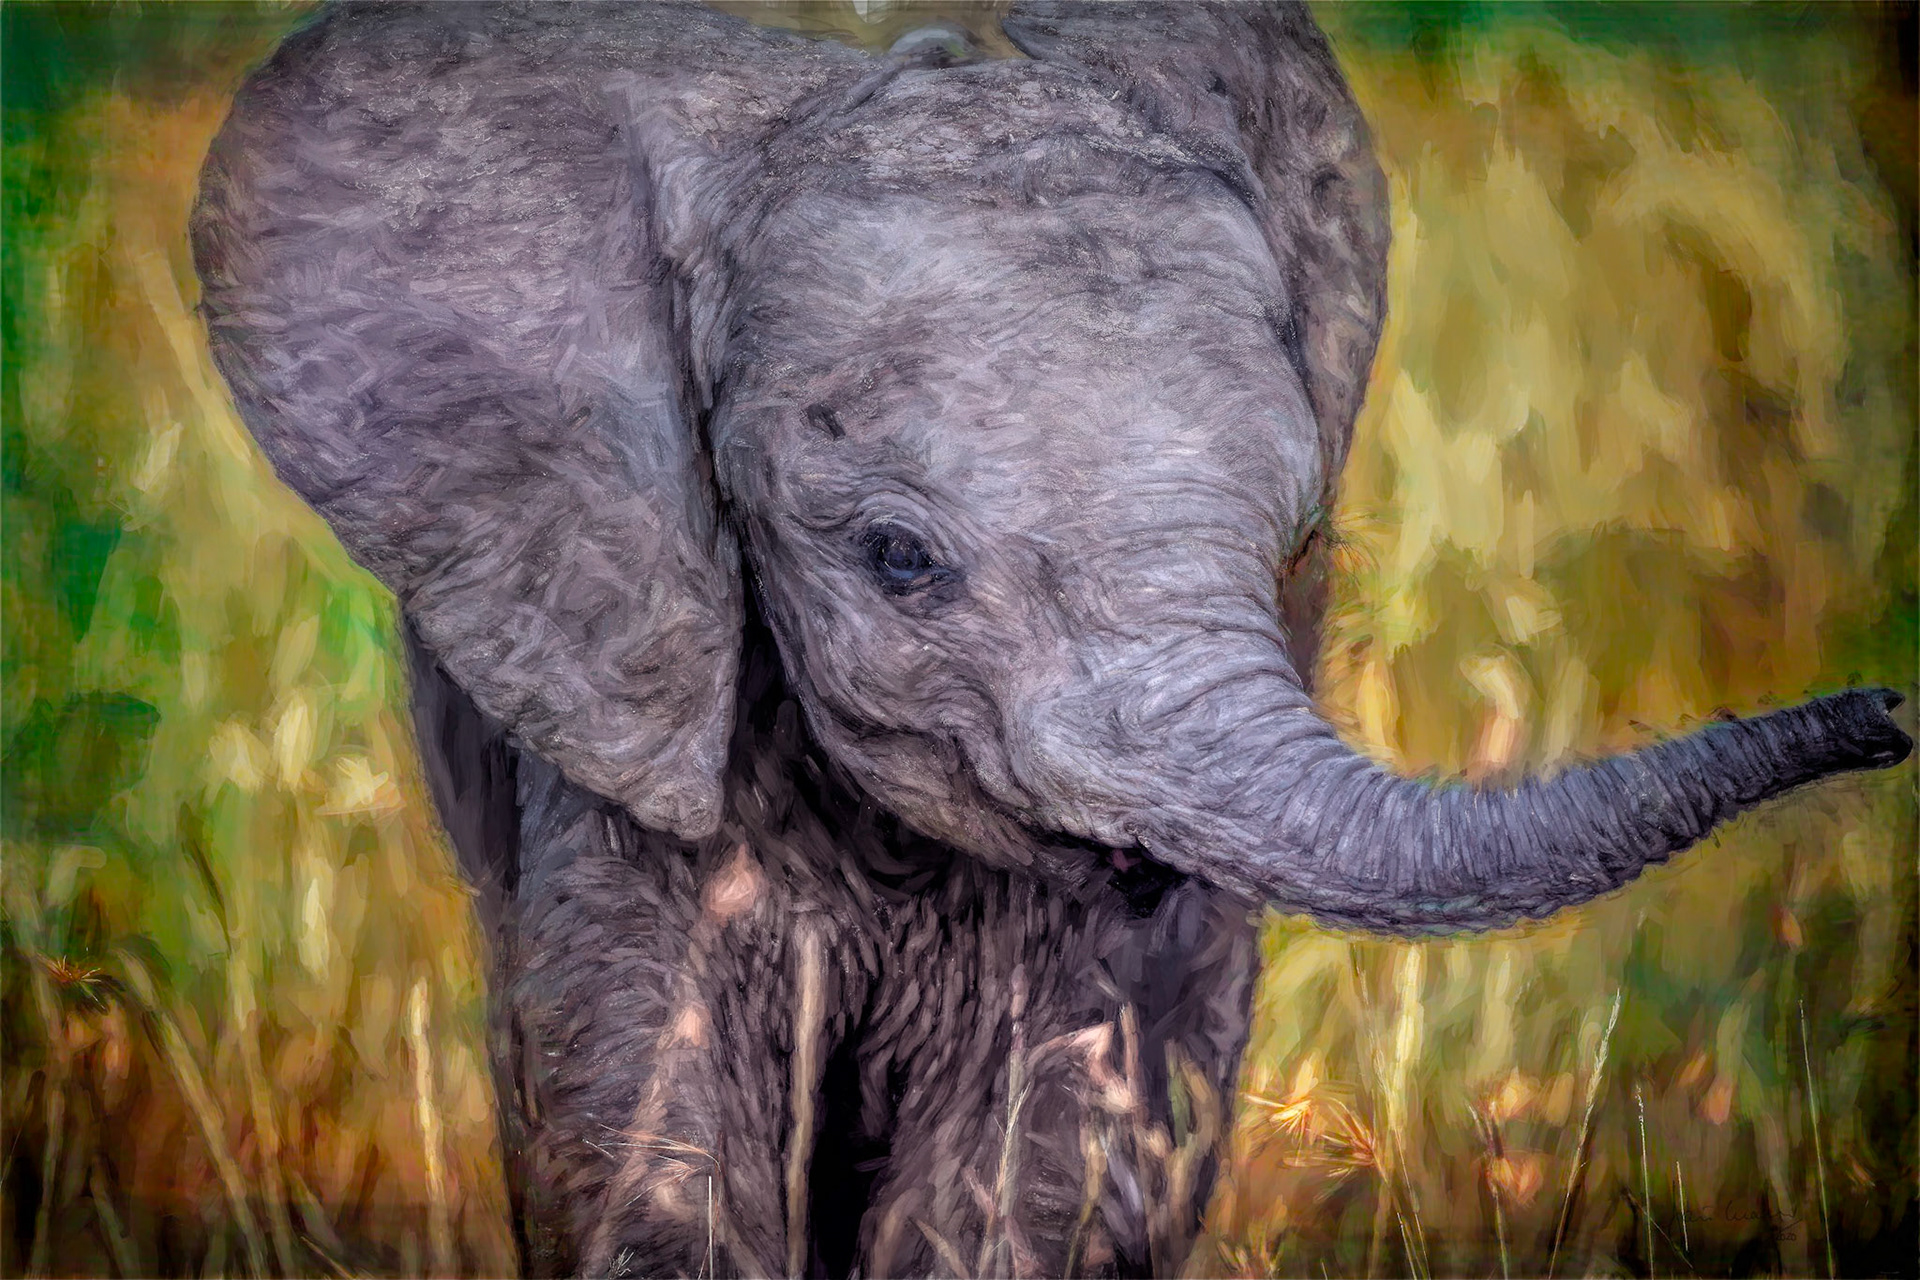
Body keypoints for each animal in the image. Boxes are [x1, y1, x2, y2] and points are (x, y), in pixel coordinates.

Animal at [188, 2, 1912, 1275]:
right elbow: (660, 1132)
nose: (1889, 715)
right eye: (896, 561)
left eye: (1298, 548)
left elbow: (1036, 1157)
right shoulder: (623, 665)